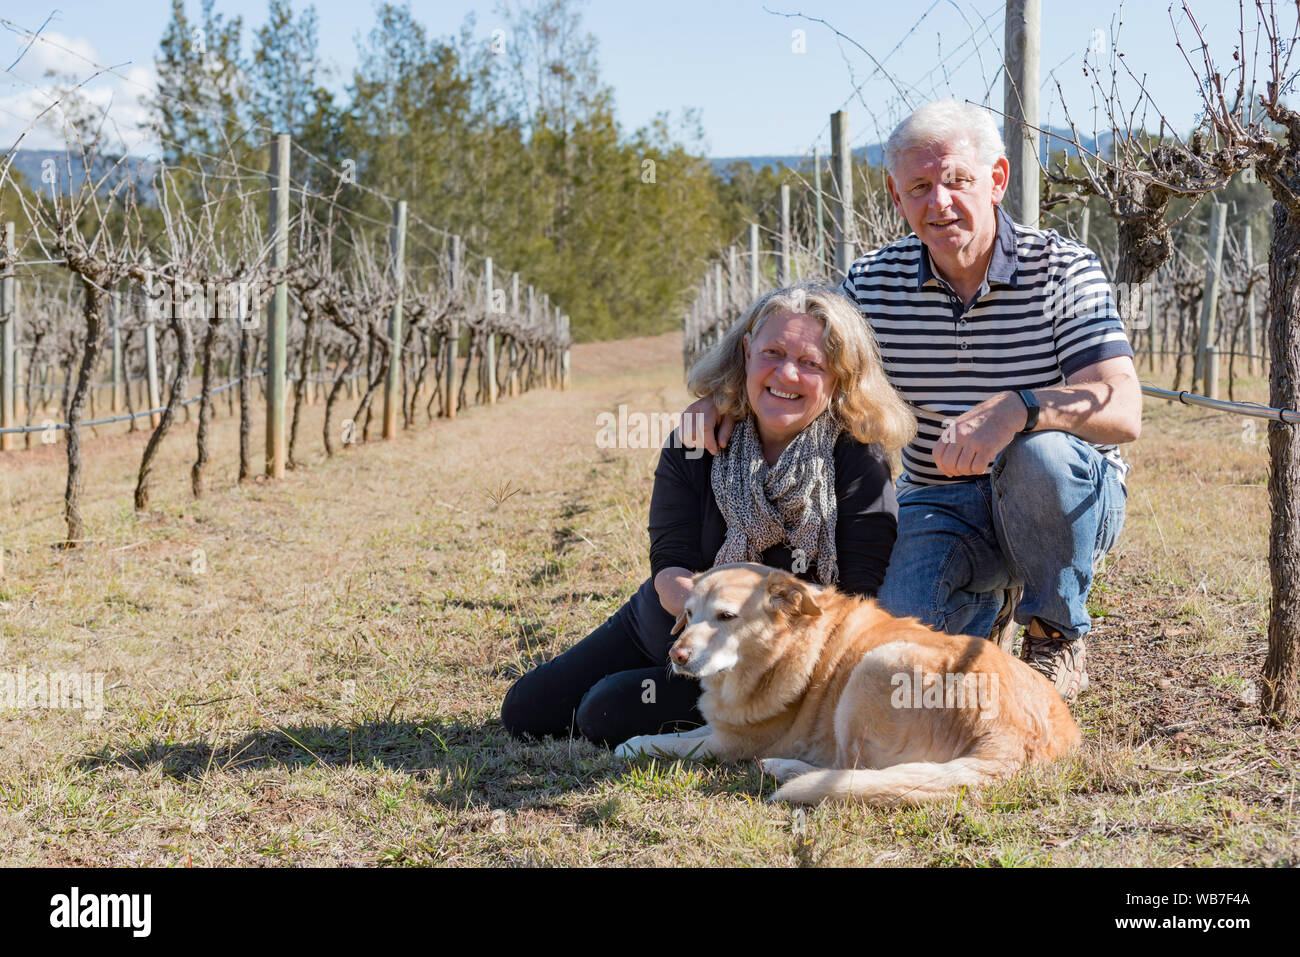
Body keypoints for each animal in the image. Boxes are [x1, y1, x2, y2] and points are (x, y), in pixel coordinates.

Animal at [613, 564, 1081, 806]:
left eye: (726, 617)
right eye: (689, 613)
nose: (677, 657)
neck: (782, 647)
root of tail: (1015, 735)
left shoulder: (729, 742)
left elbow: (668, 743)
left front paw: (629, 746)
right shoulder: (722, 728)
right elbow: (679, 732)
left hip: (872, 669)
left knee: (847, 771)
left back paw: (784, 770)